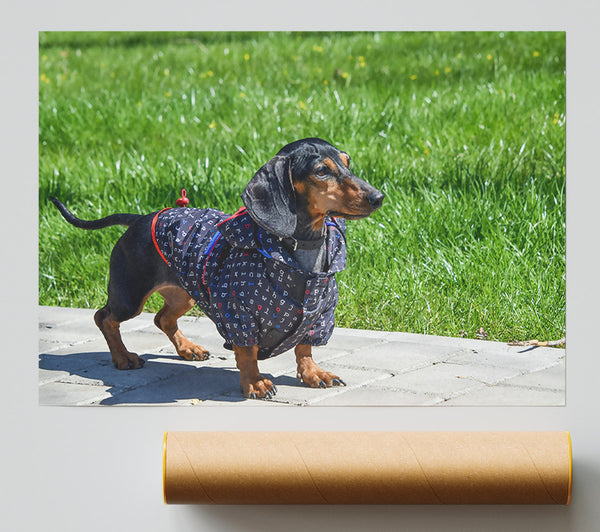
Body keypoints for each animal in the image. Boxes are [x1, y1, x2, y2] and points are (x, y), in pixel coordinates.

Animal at [50, 137, 384, 400]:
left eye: (348, 163)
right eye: (321, 171)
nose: (378, 197)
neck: (301, 250)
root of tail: (140, 219)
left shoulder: (320, 315)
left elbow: (304, 346)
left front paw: (314, 373)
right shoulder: (239, 314)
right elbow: (247, 352)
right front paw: (255, 383)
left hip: (184, 292)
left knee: (162, 318)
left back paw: (188, 349)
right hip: (130, 295)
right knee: (104, 317)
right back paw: (123, 358)